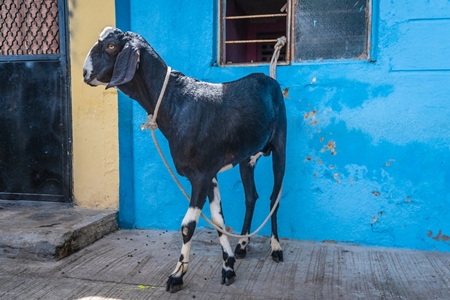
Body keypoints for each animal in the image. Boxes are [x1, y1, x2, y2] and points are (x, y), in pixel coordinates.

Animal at [83, 26, 288, 292]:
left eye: (110, 46)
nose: (85, 73)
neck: (176, 103)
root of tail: (270, 78)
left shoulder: (200, 175)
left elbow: (187, 225)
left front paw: (177, 275)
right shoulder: (210, 172)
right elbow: (218, 220)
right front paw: (229, 266)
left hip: (281, 142)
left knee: (275, 197)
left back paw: (276, 248)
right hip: (247, 158)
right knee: (251, 196)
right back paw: (243, 245)